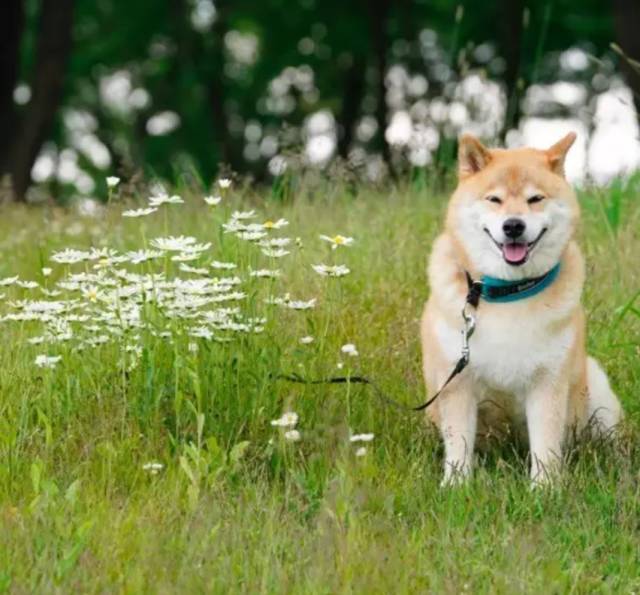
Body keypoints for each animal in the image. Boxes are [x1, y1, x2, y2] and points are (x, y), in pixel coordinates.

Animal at [422, 133, 624, 486]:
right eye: (494, 199)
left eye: (535, 199)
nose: (513, 225)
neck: (507, 294)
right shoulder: (458, 382)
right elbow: (458, 442)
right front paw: (455, 486)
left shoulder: (548, 380)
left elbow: (545, 444)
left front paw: (544, 489)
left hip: (594, 390)